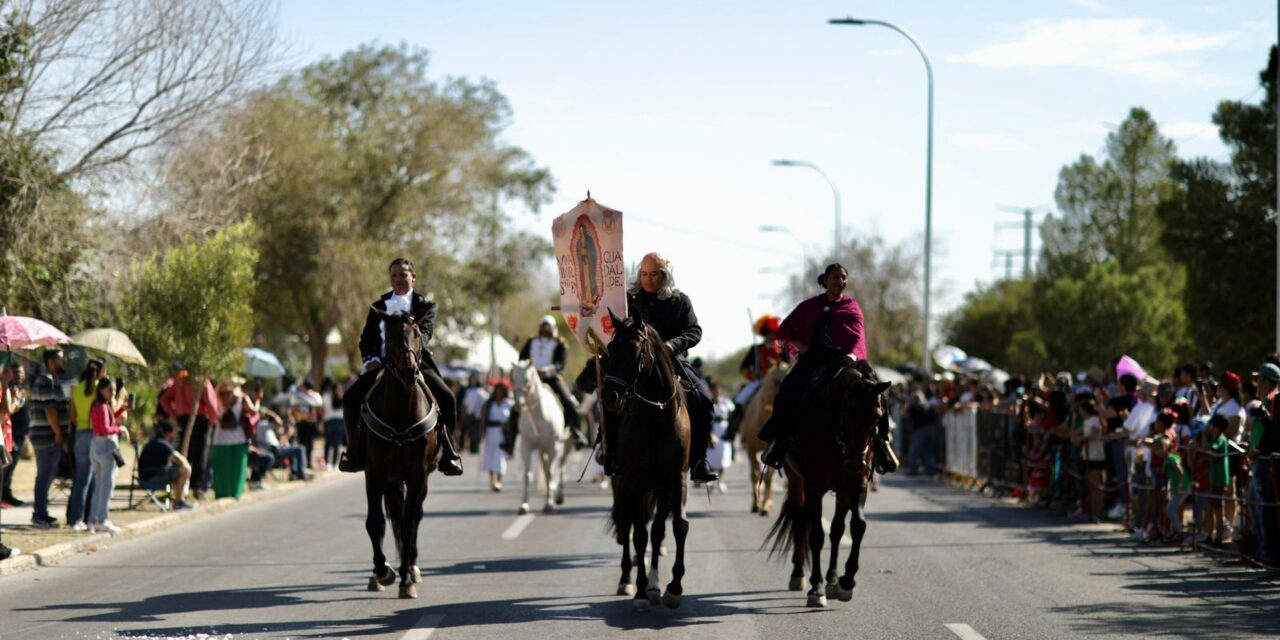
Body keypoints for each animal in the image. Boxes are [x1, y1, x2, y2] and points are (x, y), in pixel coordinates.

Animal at [360, 309, 440, 599]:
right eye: (390, 336)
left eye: (417, 334)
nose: (408, 371)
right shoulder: (375, 473)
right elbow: (375, 522)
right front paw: (382, 572)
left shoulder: (418, 475)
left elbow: (407, 525)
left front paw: (406, 580)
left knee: (414, 517)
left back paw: (413, 569)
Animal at [509, 360, 565, 514]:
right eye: (512, 378)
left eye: (527, 379)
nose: (519, 404)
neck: (539, 415)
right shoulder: (526, 446)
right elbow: (527, 475)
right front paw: (524, 505)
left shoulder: (553, 447)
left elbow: (551, 473)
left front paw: (549, 504)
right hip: (541, 450)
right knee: (546, 469)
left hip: (560, 446)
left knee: (558, 466)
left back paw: (557, 497)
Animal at [604, 312, 696, 611]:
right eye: (610, 349)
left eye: (634, 349)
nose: (609, 396)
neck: (656, 416)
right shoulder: (633, 482)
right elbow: (638, 535)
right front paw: (641, 592)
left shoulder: (675, 479)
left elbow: (676, 527)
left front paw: (673, 587)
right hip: (624, 485)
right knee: (628, 524)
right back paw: (627, 579)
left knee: (655, 530)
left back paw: (656, 584)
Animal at [737, 363, 783, 517]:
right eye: (776, 380)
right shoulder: (750, 449)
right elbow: (755, 474)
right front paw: (756, 505)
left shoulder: (772, 453)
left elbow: (768, 478)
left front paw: (766, 506)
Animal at [757, 363, 890, 606]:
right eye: (848, 413)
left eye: (878, 417)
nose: (855, 463)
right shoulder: (814, 486)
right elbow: (816, 534)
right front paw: (816, 588)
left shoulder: (856, 485)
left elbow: (857, 526)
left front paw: (846, 581)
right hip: (796, 480)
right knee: (800, 521)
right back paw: (799, 574)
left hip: (842, 490)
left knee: (836, 529)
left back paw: (833, 579)